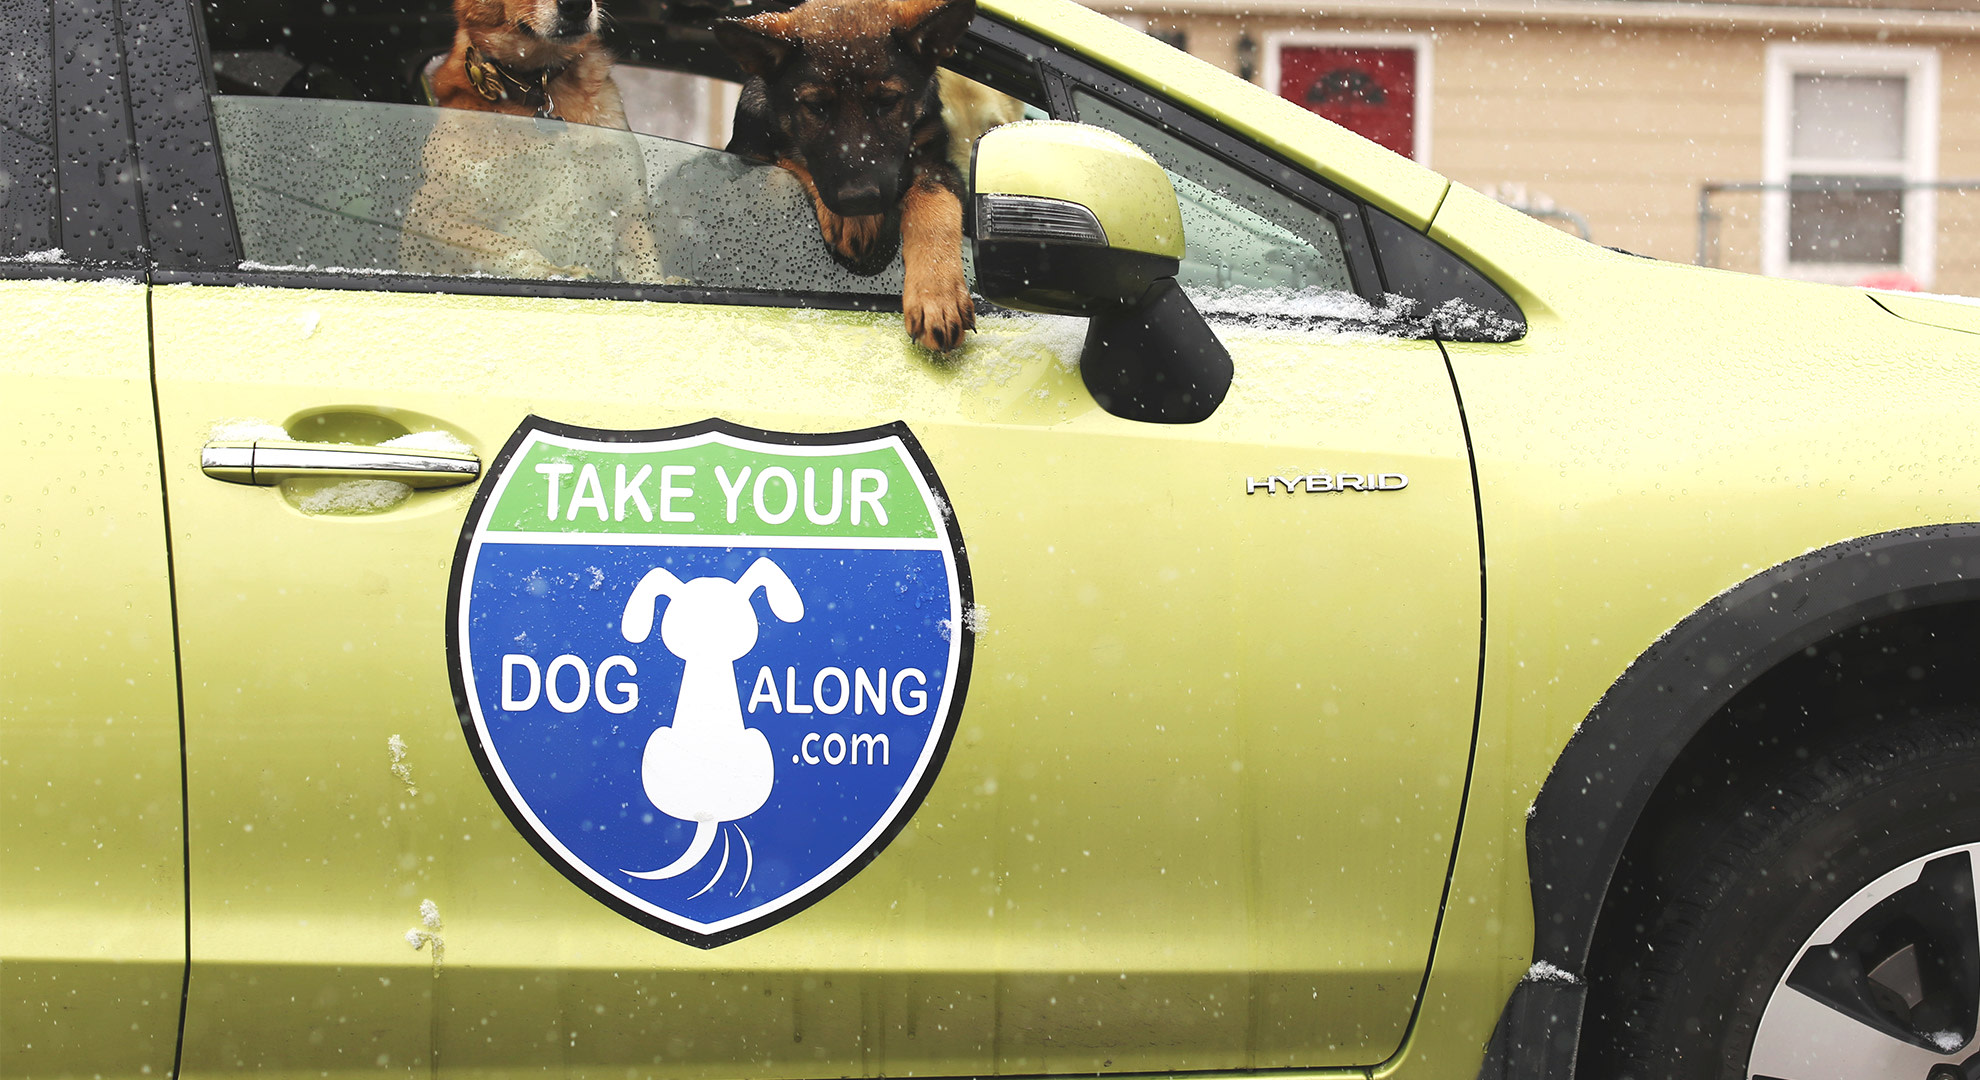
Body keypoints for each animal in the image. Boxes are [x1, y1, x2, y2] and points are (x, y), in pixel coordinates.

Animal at [720, 0, 982, 348]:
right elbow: (792, 155)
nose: (859, 200)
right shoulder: (750, 147)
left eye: (887, 101)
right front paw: (855, 221)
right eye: (815, 107)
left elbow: (935, 200)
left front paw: (938, 295)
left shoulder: (938, 163)